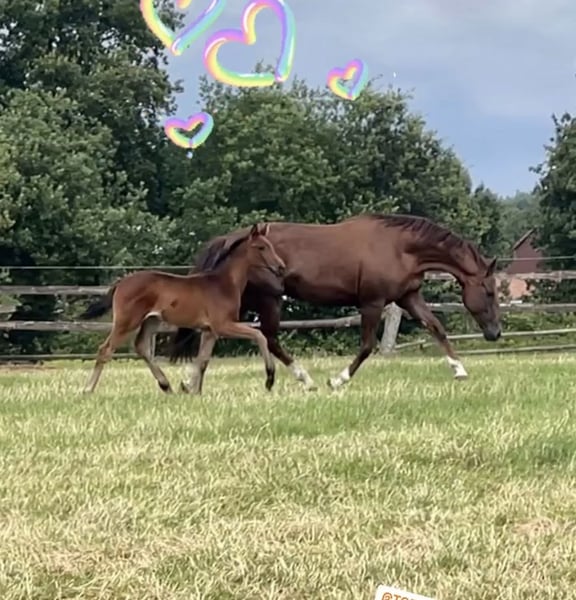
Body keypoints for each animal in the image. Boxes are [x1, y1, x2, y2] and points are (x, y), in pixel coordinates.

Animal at [79, 223, 286, 394]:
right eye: (261, 247)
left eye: (271, 245)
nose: (281, 267)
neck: (223, 284)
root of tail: (120, 283)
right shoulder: (223, 325)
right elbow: (259, 335)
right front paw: (270, 378)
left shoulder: (210, 331)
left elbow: (202, 361)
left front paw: (193, 391)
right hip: (127, 321)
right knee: (105, 349)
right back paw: (88, 389)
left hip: (151, 320)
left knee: (142, 347)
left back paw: (166, 386)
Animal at [168, 213, 502, 393]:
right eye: (489, 292)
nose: (495, 333)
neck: (400, 247)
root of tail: (230, 238)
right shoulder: (372, 302)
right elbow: (367, 346)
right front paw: (337, 380)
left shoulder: (408, 297)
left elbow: (436, 327)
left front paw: (459, 370)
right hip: (267, 299)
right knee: (268, 338)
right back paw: (306, 380)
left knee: (216, 334)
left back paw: (189, 383)